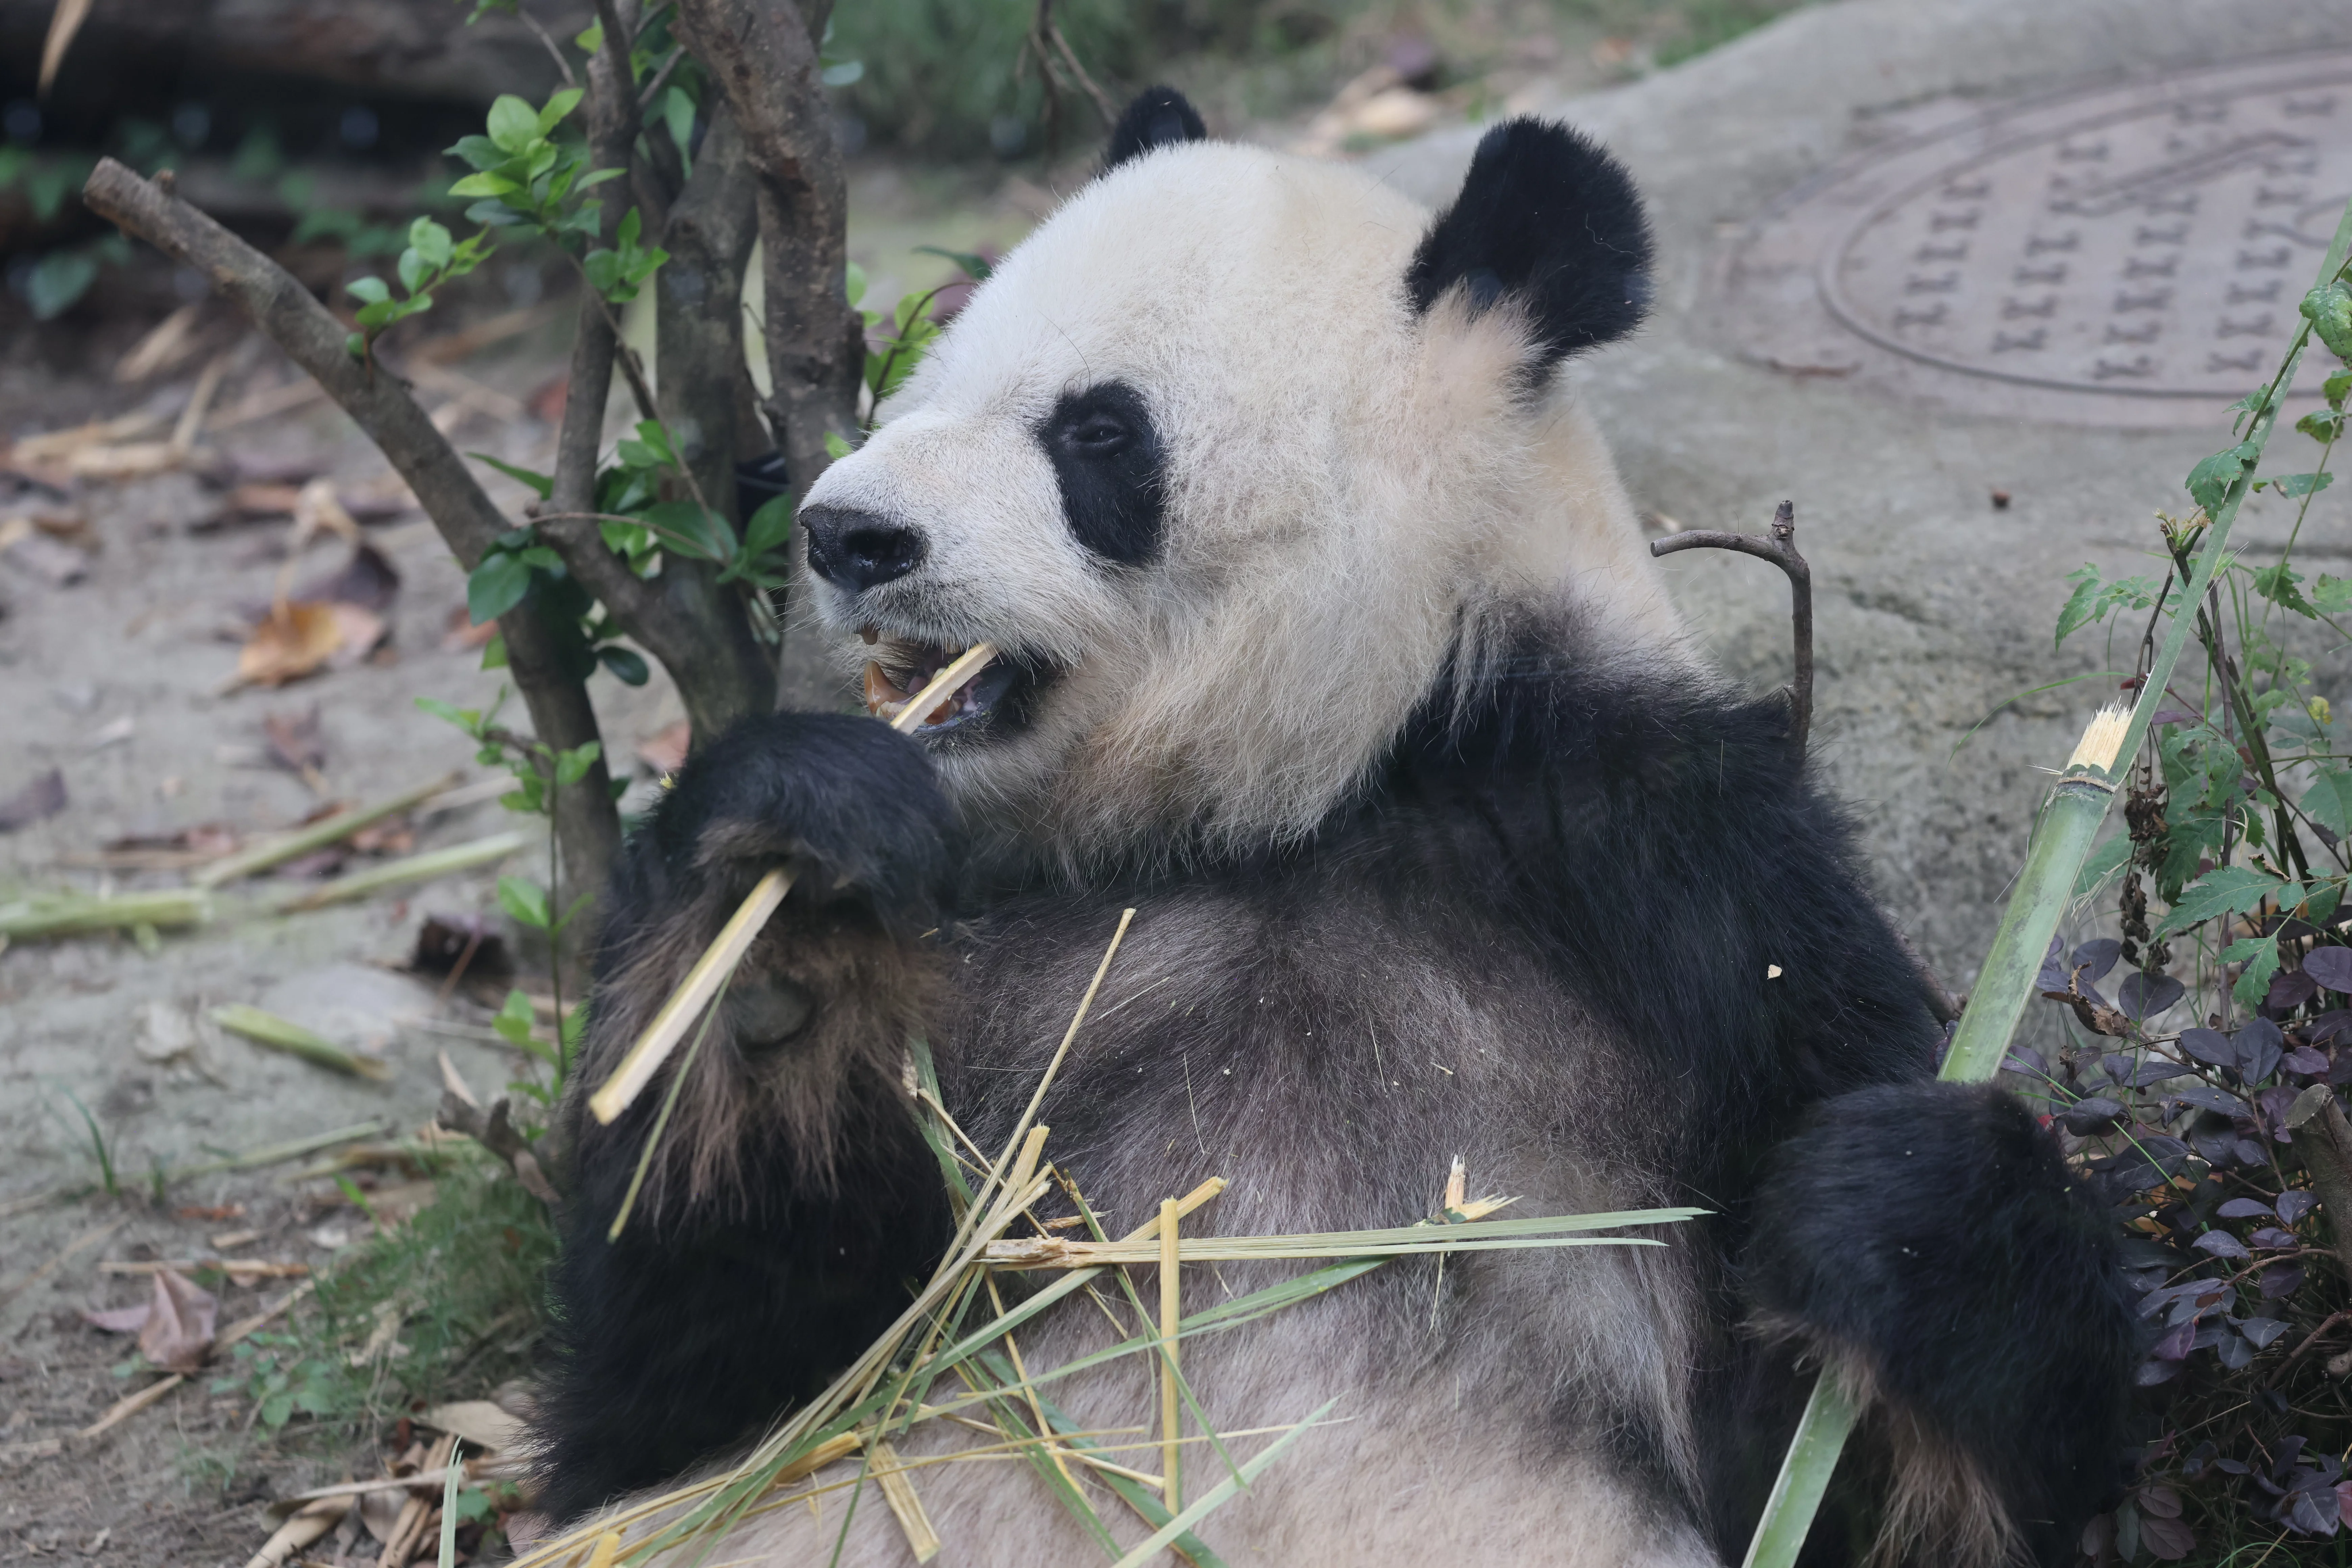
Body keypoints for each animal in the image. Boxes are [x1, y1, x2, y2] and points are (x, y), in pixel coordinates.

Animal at [535, 88, 2138, 1567]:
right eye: (916, 391)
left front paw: (1895, 1204)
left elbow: (1876, 1477)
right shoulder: (1000, 963)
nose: (844, 532)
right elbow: (717, 1402)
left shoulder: (1673, 880)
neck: (1306, 793)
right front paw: (782, 900)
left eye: (1095, 433)